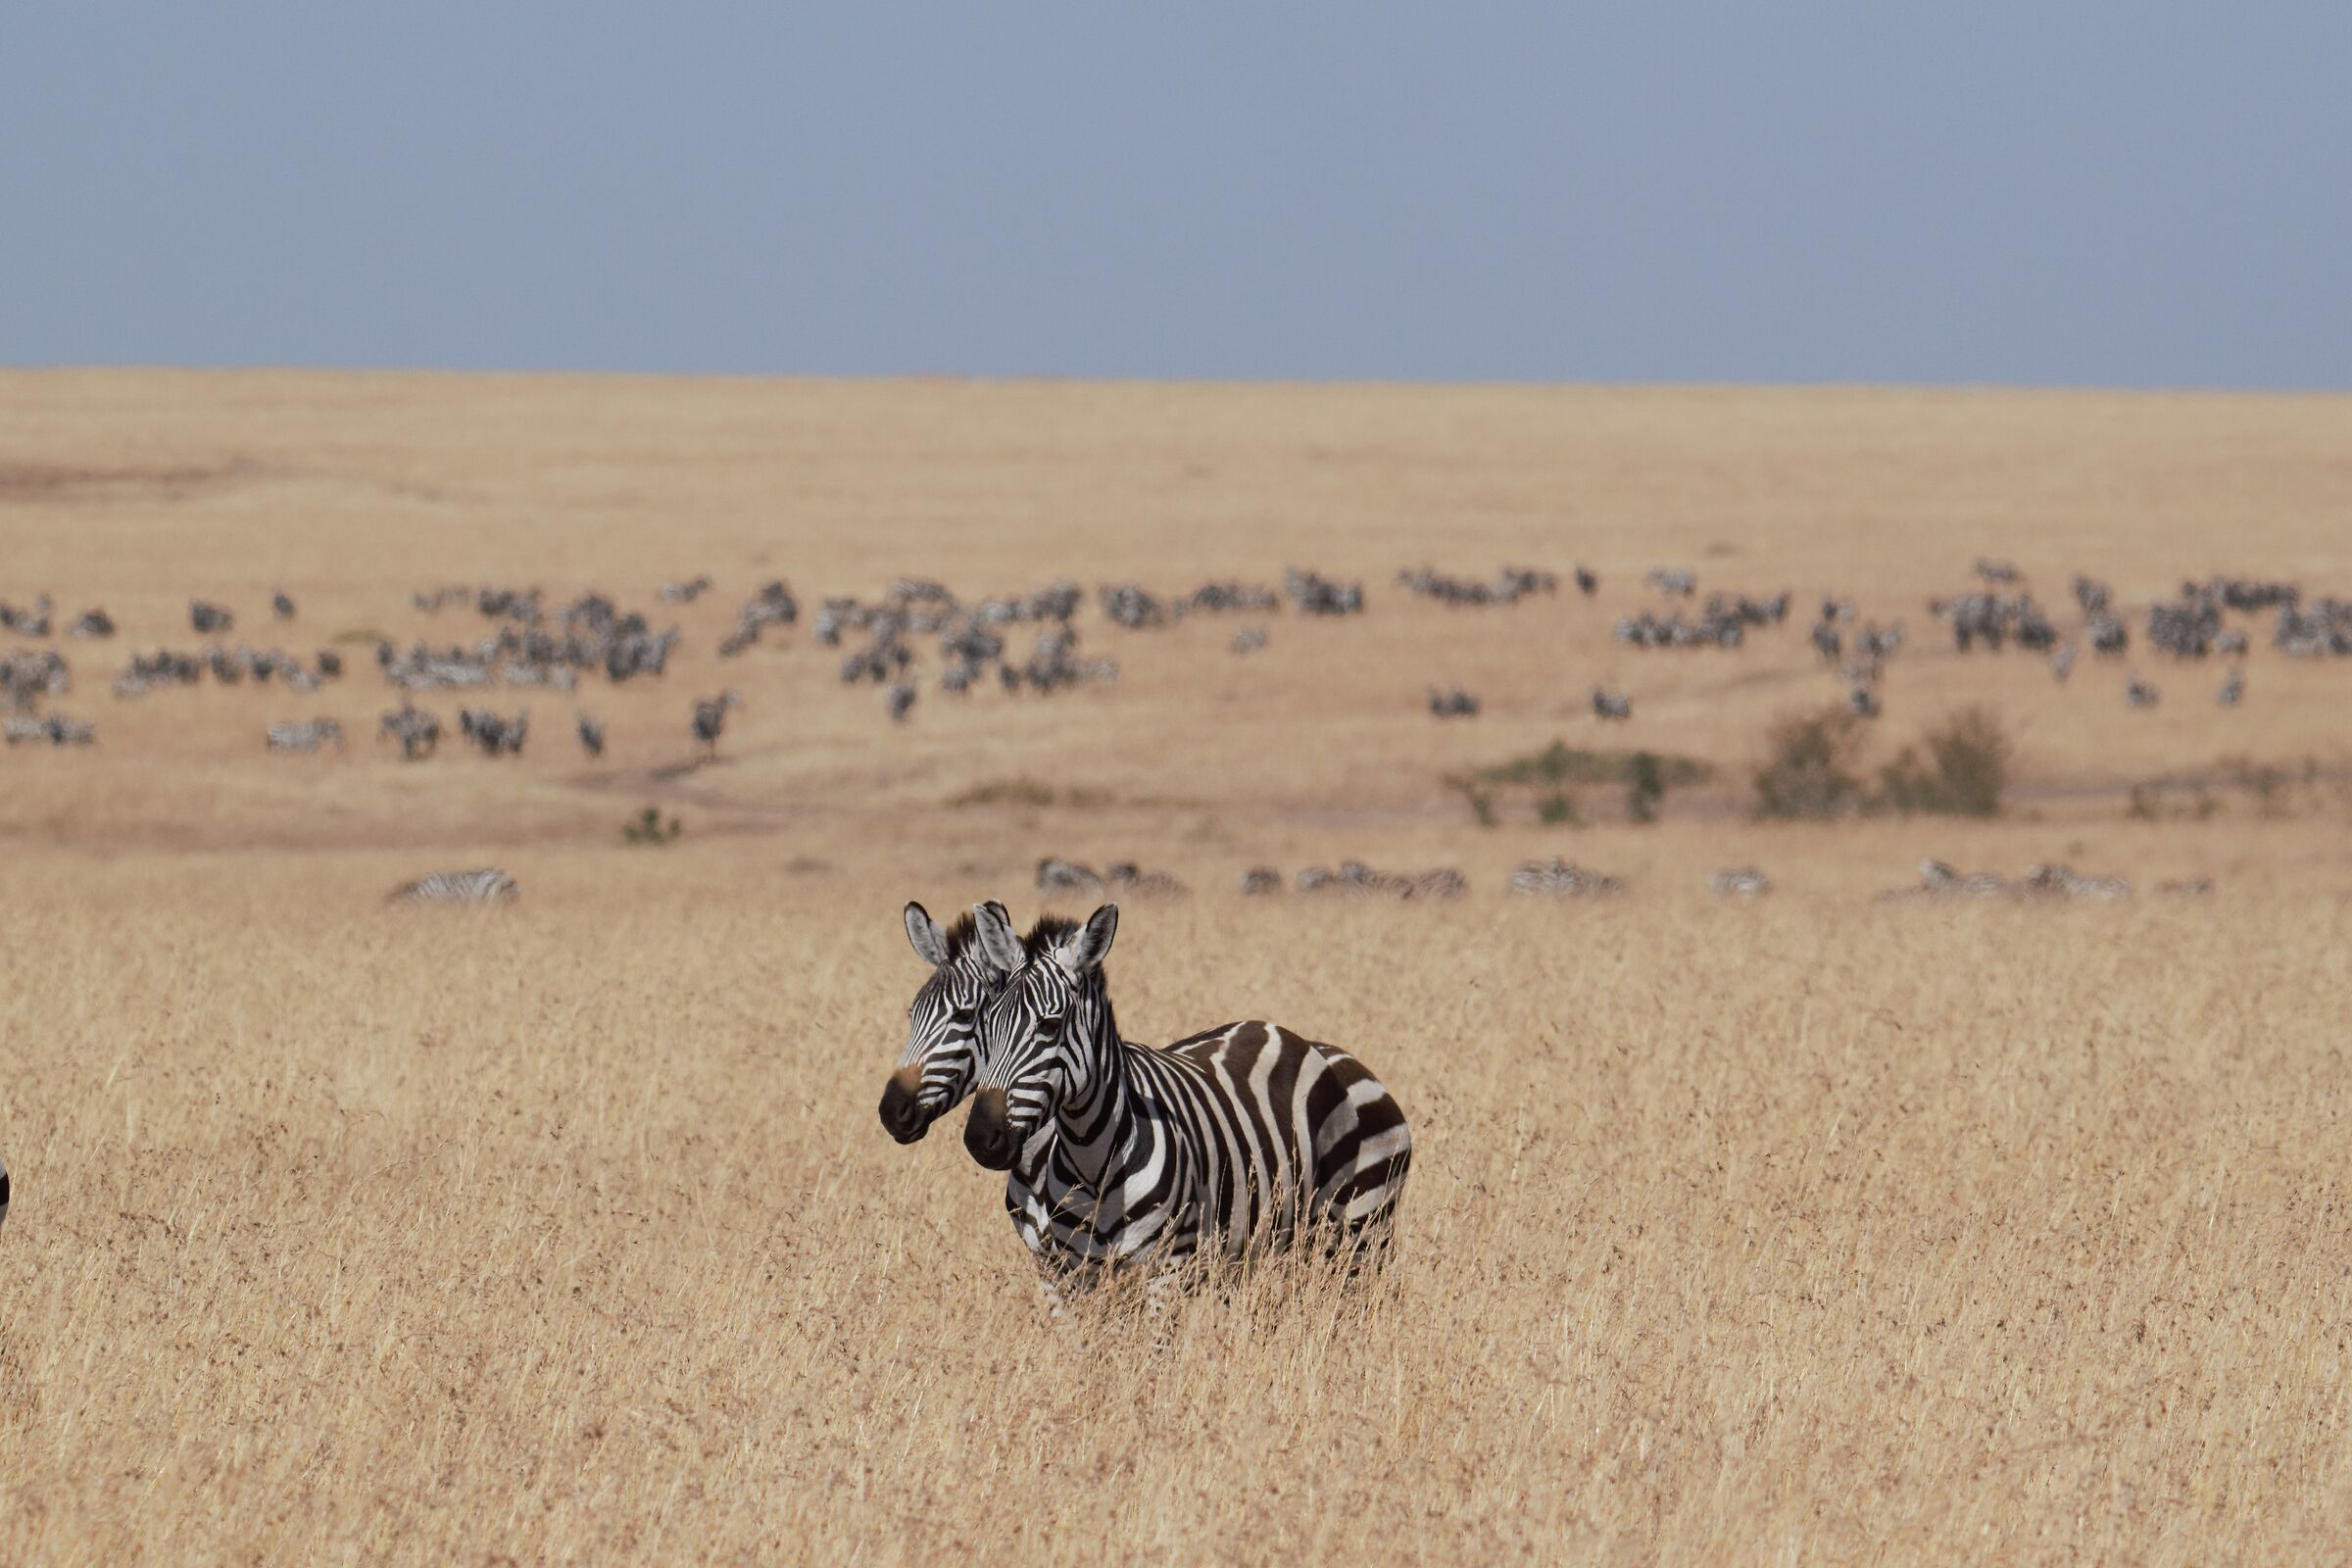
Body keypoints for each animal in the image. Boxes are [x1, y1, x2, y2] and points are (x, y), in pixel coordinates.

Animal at [962, 902, 1412, 1305]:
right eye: (988, 1025)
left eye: (1050, 1026)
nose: (981, 1138)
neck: (1094, 1163)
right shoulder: (1074, 1272)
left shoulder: (1168, 1267)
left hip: (1358, 1231)